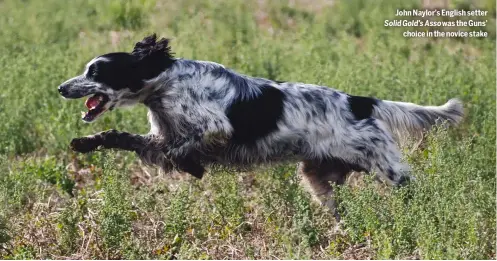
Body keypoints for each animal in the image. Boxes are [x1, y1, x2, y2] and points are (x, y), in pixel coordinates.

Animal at [58, 33, 462, 214]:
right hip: (319, 178)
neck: (165, 82)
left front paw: (192, 166)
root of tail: (360, 101)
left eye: (96, 72)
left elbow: (183, 148)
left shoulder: (214, 128)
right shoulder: (157, 138)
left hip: (390, 171)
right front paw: (85, 143)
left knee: (416, 191)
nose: (61, 88)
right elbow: (122, 137)